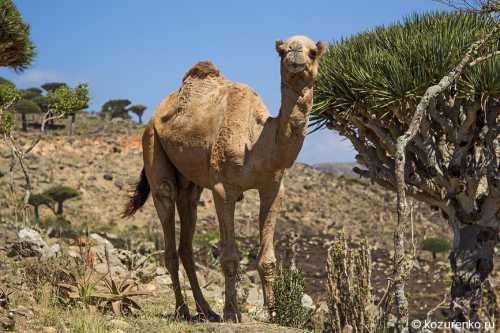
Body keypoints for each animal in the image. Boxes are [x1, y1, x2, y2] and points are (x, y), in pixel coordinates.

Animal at [123, 35, 326, 320]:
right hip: (152, 144)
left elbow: (268, 259)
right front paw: (232, 312)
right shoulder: (223, 189)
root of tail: (154, 115)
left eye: (313, 52)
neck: (257, 140)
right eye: (282, 50)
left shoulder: (273, 187)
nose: (295, 55)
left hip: (190, 182)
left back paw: (206, 310)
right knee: (168, 228)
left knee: (186, 238)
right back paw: (183, 310)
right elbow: (229, 257)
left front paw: (273, 312)